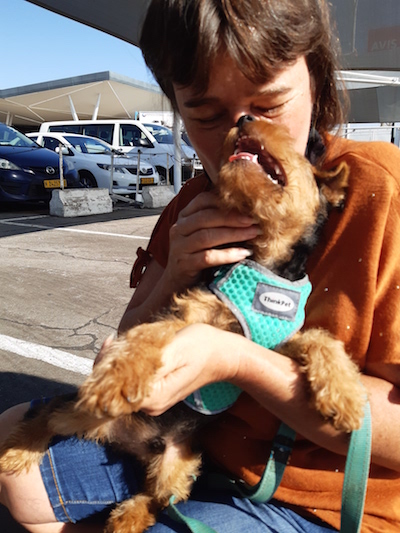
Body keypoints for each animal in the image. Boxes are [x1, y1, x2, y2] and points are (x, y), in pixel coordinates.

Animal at [0, 117, 368, 532]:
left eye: (289, 139)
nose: (243, 119)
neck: (263, 260)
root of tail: (128, 442)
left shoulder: (273, 339)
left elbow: (321, 338)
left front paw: (345, 396)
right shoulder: (188, 313)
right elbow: (149, 335)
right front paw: (117, 377)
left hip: (179, 463)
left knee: (157, 497)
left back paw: (126, 518)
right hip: (82, 413)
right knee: (47, 415)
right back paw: (17, 450)